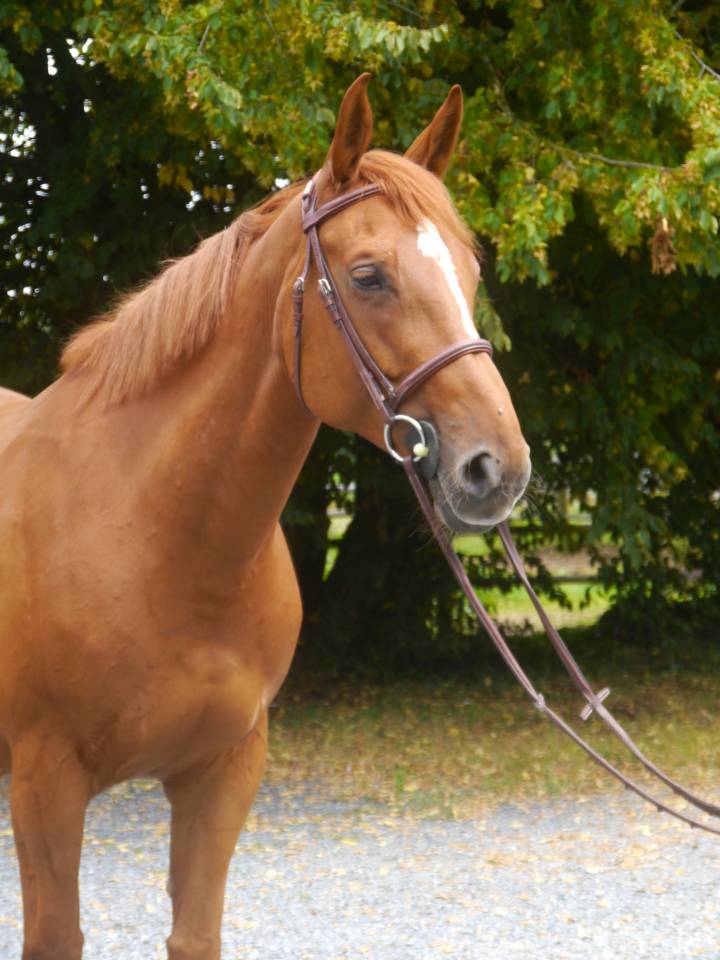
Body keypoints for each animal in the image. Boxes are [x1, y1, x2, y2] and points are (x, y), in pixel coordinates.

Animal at [0, 75, 531, 959]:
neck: (153, 536)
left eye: (468, 270)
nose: (497, 468)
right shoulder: (47, 780)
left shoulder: (224, 773)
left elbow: (195, 933)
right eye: (368, 275)